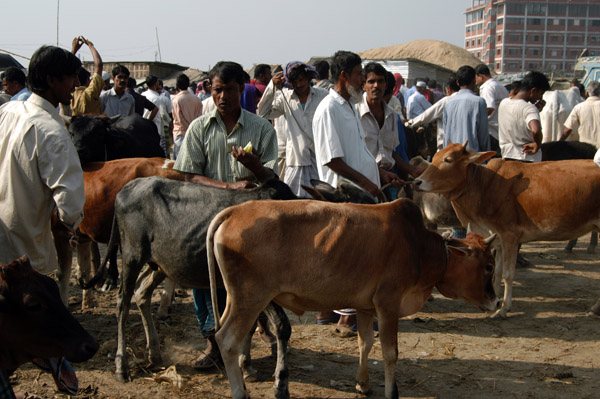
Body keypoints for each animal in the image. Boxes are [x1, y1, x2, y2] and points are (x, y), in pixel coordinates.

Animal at [206, 198, 496, 398]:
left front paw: (363, 384)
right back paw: (240, 392)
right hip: (251, 298)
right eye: (489, 266)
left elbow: (365, 343)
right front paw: (392, 391)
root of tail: (234, 211)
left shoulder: (365, 307)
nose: (495, 302)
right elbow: (390, 353)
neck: (419, 246)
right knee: (228, 340)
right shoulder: (388, 303)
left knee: (226, 333)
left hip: (237, 298)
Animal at [414, 143, 600, 318]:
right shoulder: (497, 240)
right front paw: (495, 301)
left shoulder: (510, 236)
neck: (485, 186)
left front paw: (503, 309)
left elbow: (507, 274)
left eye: (448, 159)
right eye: (434, 157)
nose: (417, 182)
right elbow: (497, 272)